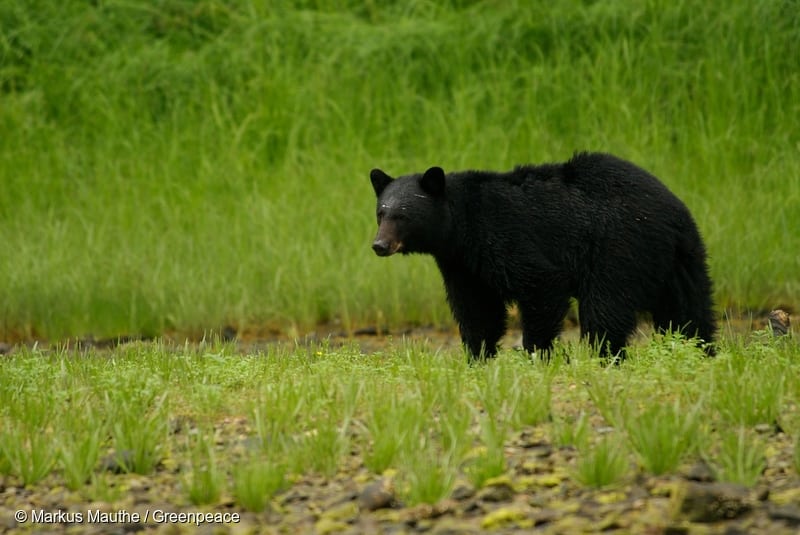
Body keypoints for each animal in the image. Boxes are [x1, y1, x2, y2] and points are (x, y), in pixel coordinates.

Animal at [369, 152, 716, 361]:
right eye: (381, 213)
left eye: (402, 215)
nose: (379, 245)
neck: (462, 229)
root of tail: (672, 213)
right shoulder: (464, 266)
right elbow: (477, 310)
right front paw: (478, 356)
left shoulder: (506, 236)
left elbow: (540, 285)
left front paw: (537, 353)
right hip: (683, 261)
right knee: (690, 310)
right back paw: (702, 351)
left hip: (619, 250)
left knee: (605, 310)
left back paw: (605, 356)